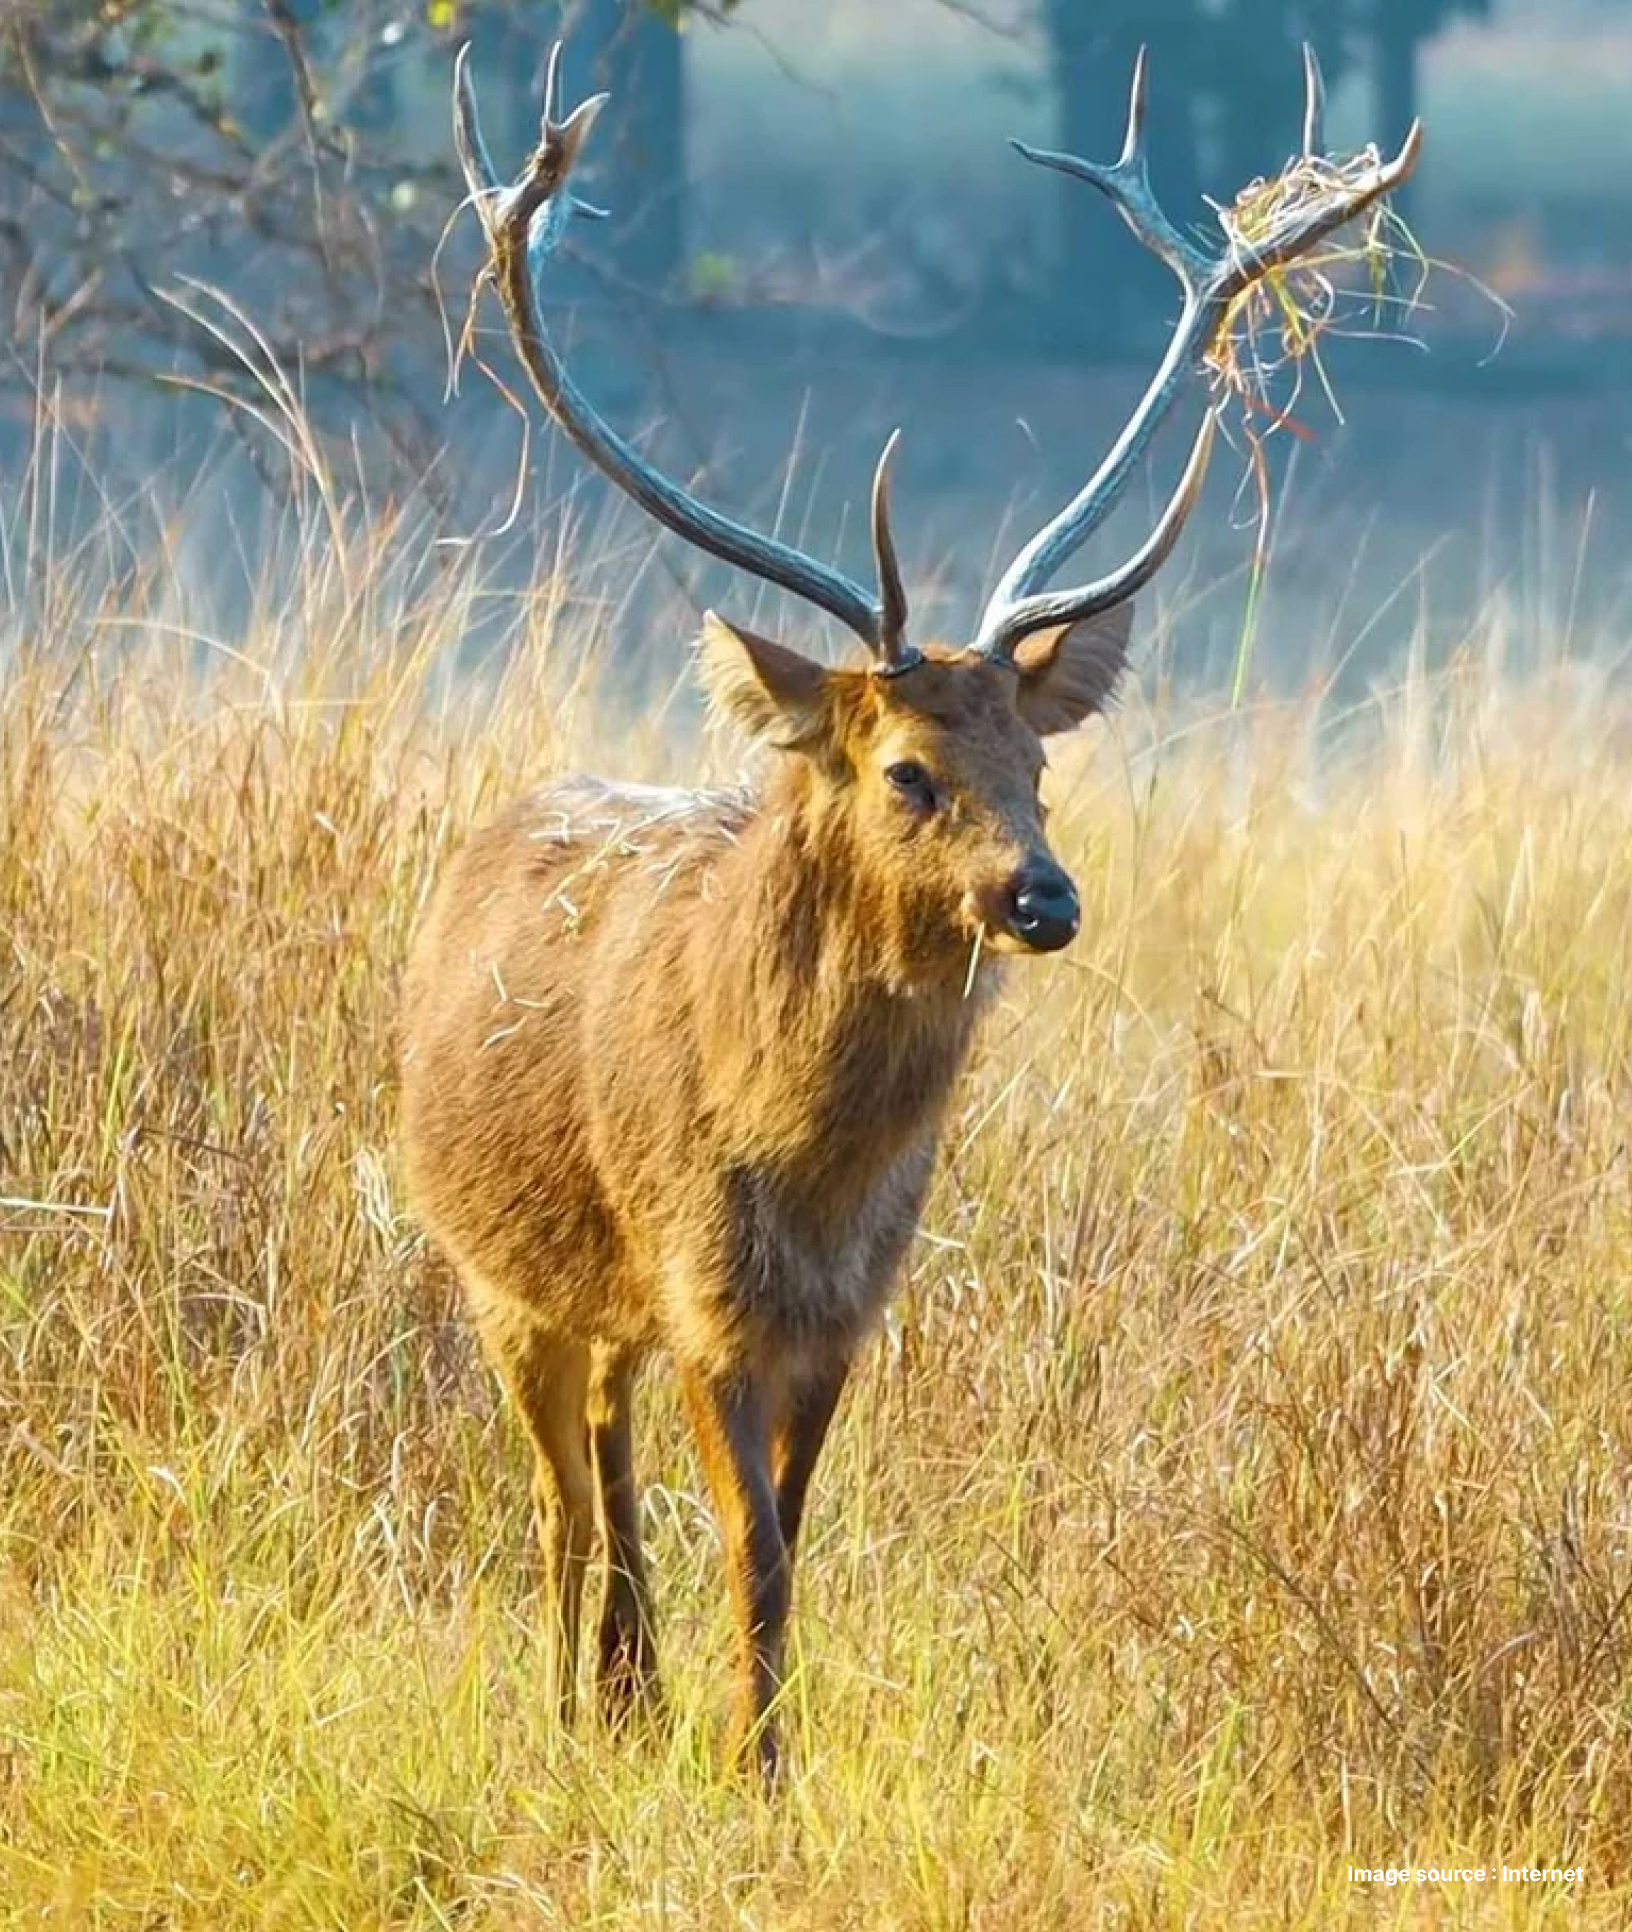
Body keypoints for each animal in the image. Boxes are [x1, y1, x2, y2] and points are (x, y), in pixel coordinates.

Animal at [399, 39, 1421, 1782]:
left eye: (1040, 761)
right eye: (905, 770)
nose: (1044, 897)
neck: (806, 1178)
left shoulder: (846, 1314)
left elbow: (791, 1541)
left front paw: (755, 1750)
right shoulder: (707, 1293)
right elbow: (745, 1546)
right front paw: (750, 1775)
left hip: (596, 1301)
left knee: (604, 1470)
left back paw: (627, 1692)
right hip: (497, 1267)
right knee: (558, 1500)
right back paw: (560, 1704)